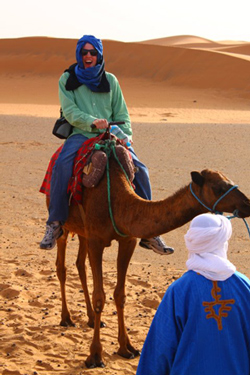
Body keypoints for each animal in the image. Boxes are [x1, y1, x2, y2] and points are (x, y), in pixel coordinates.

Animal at [46, 156, 250, 370]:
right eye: (219, 187)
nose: (248, 203)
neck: (118, 203)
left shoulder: (127, 240)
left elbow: (120, 294)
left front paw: (127, 348)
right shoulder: (96, 240)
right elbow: (99, 297)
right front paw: (94, 356)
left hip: (82, 232)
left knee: (80, 264)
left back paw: (93, 319)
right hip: (65, 223)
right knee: (61, 266)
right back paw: (66, 318)